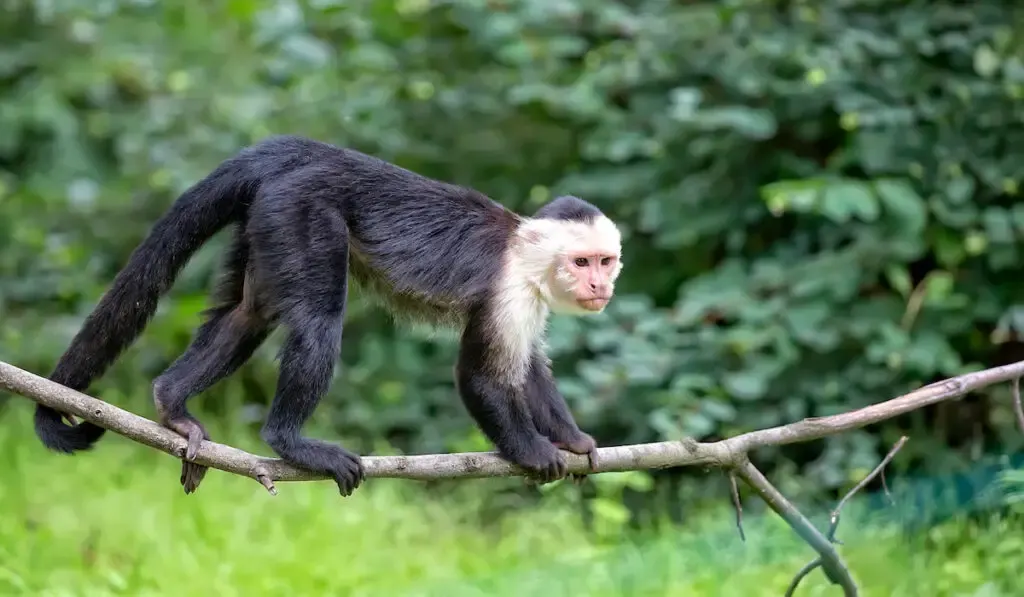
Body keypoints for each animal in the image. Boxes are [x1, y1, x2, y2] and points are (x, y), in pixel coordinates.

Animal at [34, 134, 622, 495]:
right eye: (582, 261)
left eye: (606, 260)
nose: (601, 284)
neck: (525, 254)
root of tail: (304, 156)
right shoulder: (510, 289)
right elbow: (480, 377)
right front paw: (533, 450)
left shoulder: (531, 297)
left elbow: (528, 371)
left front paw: (572, 440)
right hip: (301, 210)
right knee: (318, 322)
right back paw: (288, 442)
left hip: (267, 215)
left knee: (249, 314)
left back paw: (172, 404)